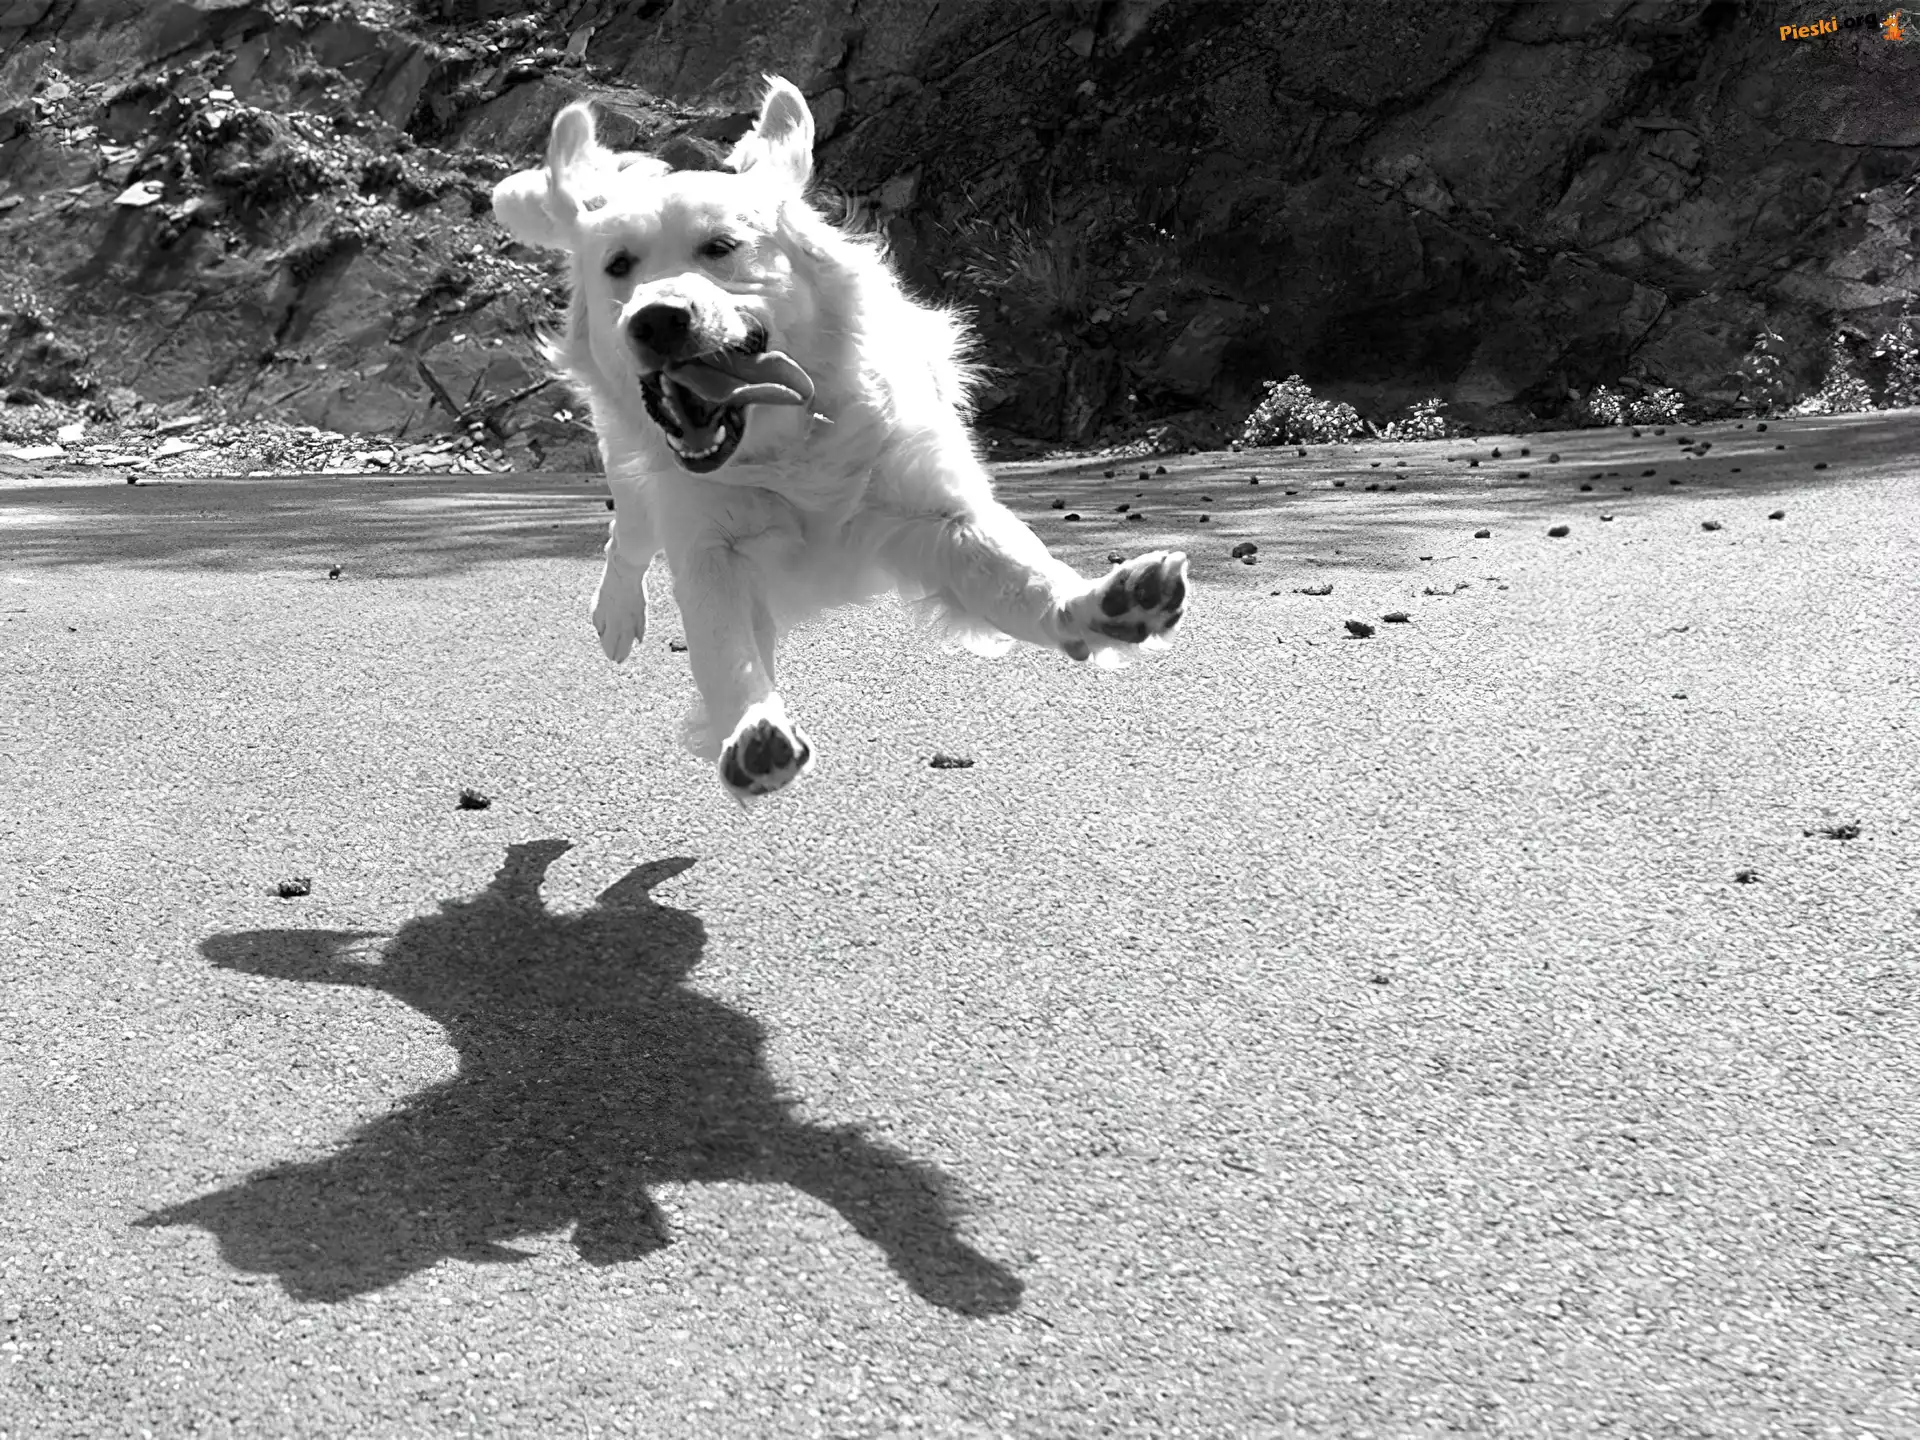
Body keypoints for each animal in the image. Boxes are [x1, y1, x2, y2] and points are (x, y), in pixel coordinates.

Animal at [492, 77, 1189, 799]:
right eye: (618, 265)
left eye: (720, 247)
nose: (656, 319)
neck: (786, 443)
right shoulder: (709, 550)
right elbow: (726, 653)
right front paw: (754, 730)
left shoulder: (942, 516)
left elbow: (1024, 576)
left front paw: (1103, 606)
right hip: (629, 471)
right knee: (626, 540)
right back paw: (617, 614)